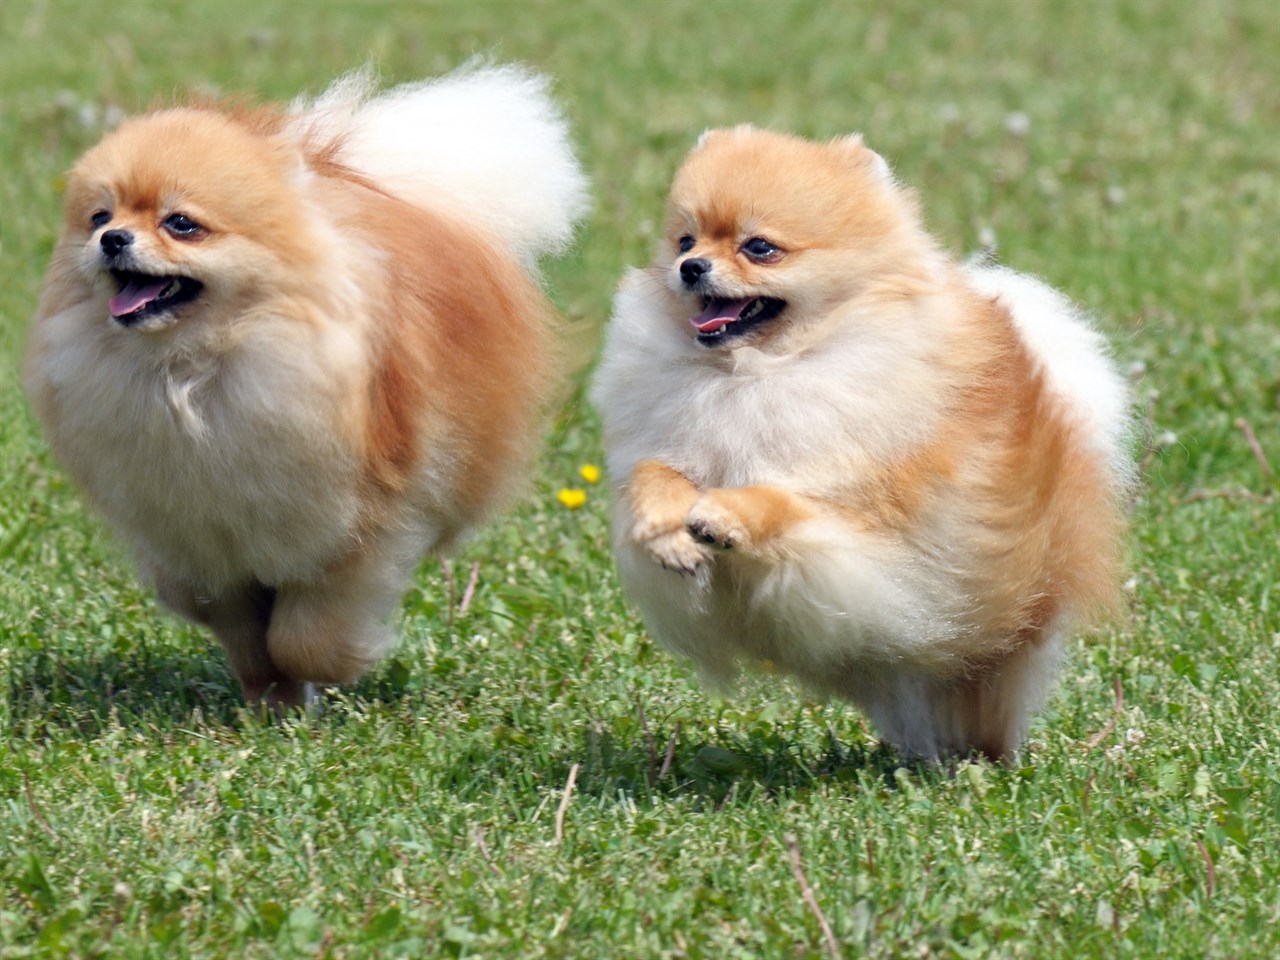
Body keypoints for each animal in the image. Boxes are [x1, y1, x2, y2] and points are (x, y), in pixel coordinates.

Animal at [28, 67, 588, 711]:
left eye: (181, 224)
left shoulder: (354, 533)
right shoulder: (201, 546)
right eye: (99, 217)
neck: (189, 372)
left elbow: (305, 637)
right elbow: (245, 635)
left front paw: (325, 679)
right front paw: (269, 697)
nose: (114, 239)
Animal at [588, 128, 1131, 762]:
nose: (690, 267)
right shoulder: (675, 442)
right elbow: (655, 471)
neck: (753, 373)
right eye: (684, 239)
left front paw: (722, 516)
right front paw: (666, 532)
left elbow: (783, 500)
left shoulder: (863, 514)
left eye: (759, 247)